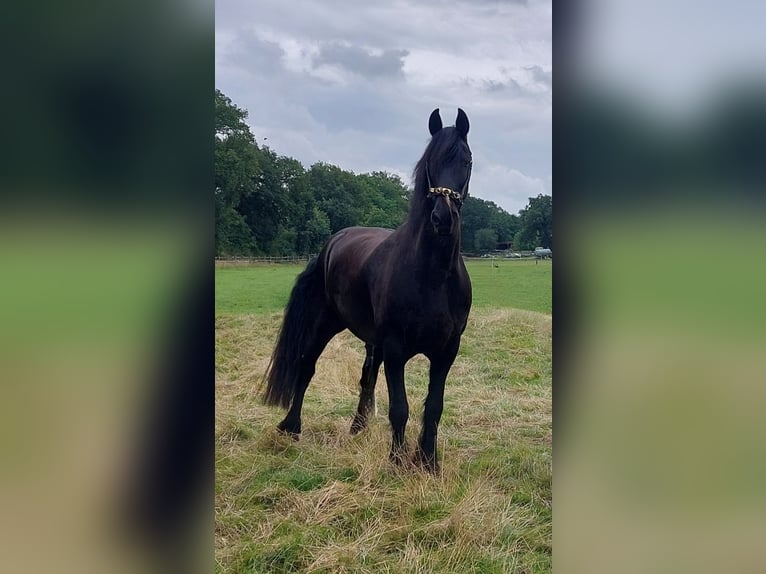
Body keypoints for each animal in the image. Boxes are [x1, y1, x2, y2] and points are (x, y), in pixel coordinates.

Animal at [264, 108, 474, 472]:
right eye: (430, 161)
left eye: (466, 160)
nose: (442, 218)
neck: (434, 276)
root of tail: (332, 243)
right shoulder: (395, 349)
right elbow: (400, 407)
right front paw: (397, 461)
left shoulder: (447, 350)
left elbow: (434, 407)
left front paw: (428, 461)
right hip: (324, 324)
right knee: (306, 367)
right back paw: (291, 427)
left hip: (372, 342)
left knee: (366, 377)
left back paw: (358, 427)